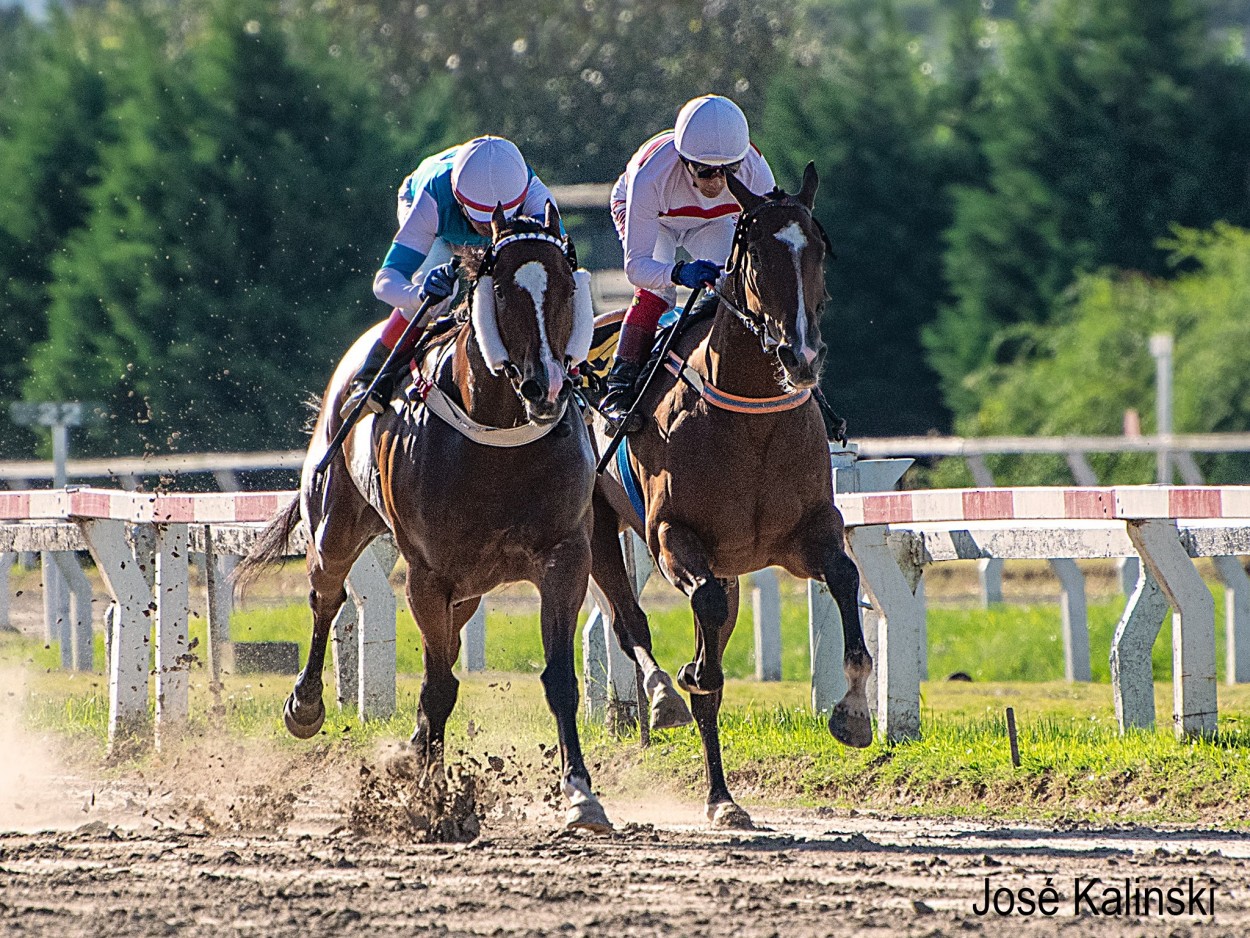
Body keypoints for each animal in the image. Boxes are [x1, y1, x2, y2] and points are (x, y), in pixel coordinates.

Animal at [238, 203, 610, 830]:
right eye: (502, 290)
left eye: (564, 286)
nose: (546, 388)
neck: (498, 439)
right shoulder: (428, 576)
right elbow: (439, 687)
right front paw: (433, 801)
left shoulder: (565, 558)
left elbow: (558, 678)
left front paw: (582, 794)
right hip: (335, 524)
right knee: (325, 596)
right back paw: (306, 704)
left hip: (470, 588)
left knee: (449, 643)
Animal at [592, 163, 870, 830]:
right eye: (757, 253)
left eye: (818, 250)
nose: (801, 356)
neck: (752, 418)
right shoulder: (673, 537)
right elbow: (705, 643)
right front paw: (689, 681)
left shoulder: (807, 532)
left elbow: (846, 579)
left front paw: (853, 712)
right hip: (594, 522)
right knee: (631, 622)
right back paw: (667, 700)